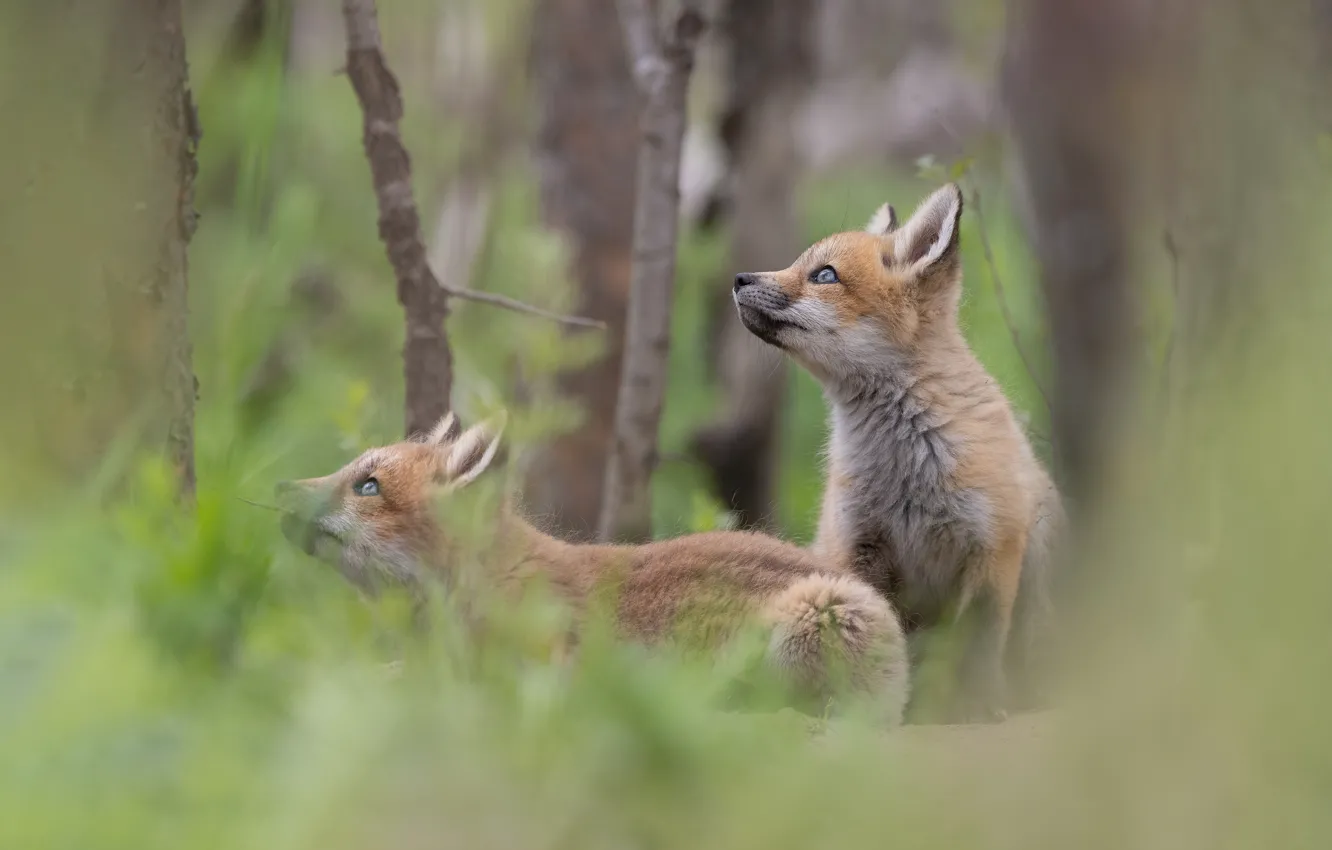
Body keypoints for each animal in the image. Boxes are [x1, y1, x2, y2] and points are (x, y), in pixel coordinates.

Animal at [731, 182, 1063, 724]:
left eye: (824, 275)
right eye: (800, 263)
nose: (739, 278)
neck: (907, 475)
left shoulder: (994, 548)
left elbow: (977, 644)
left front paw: (979, 707)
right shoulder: (857, 546)